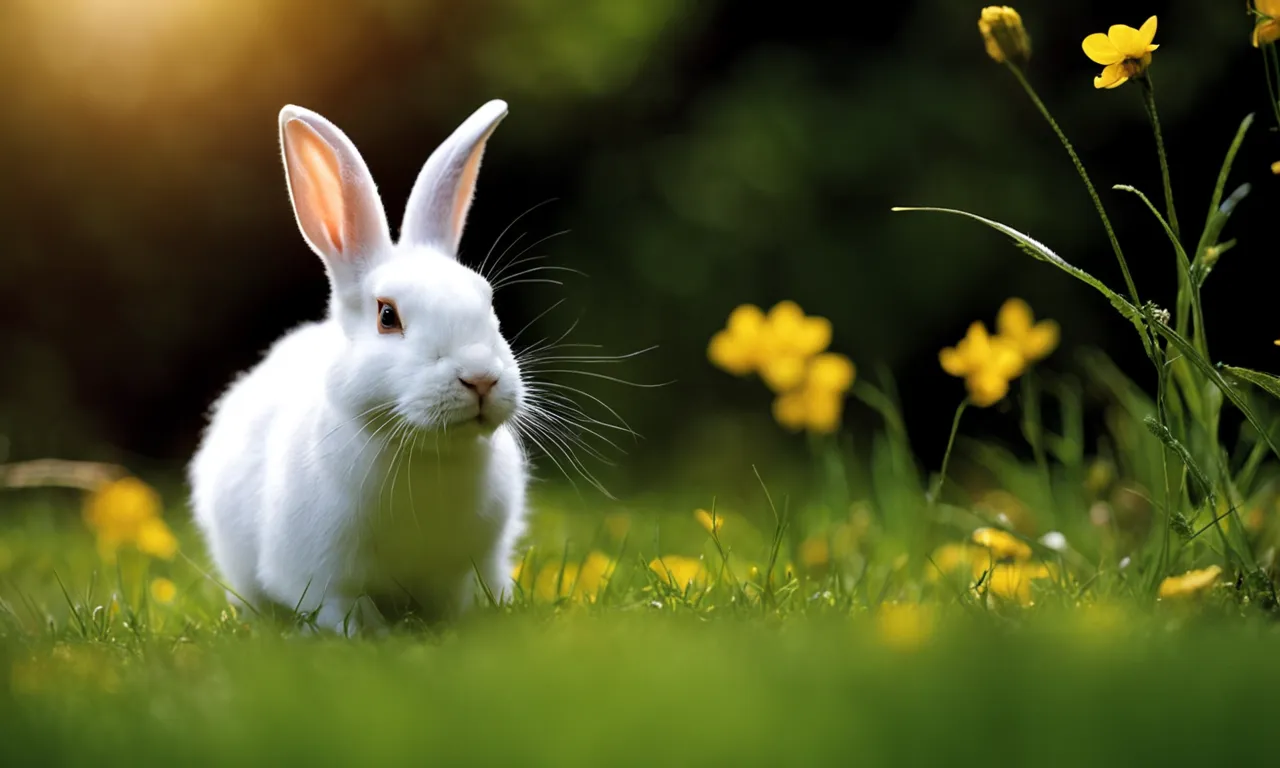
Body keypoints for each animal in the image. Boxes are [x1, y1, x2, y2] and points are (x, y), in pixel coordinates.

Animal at [188, 100, 527, 634]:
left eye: (487, 302)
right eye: (387, 316)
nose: (480, 378)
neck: (426, 456)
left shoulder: (477, 562)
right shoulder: (320, 577)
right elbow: (346, 611)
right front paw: (370, 638)